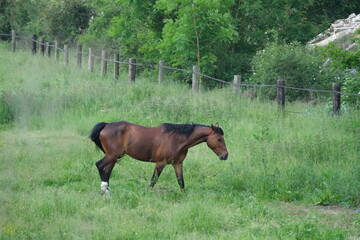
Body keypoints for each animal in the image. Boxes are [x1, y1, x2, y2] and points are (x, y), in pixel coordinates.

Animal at [89, 121, 228, 196]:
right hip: (112, 155)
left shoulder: (177, 163)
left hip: (113, 157)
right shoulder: (161, 163)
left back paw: (107, 192)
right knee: (99, 165)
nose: (225, 155)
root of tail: (106, 125)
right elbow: (153, 180)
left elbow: (181, 182)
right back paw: (104, 191)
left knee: (107, 171)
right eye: (218, 139)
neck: (177, 139)